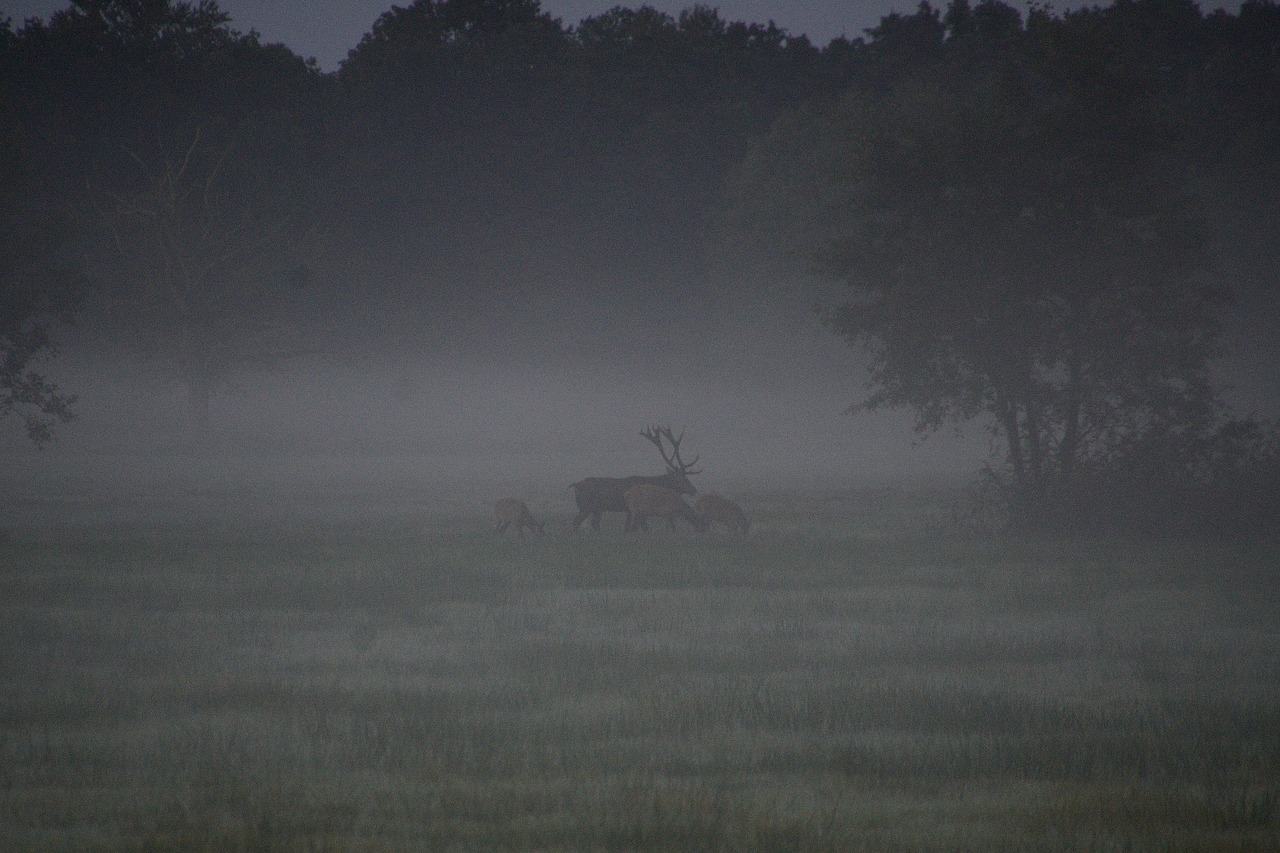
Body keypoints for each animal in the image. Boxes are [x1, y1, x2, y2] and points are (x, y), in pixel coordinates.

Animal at [573, 425, 706, 532]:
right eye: (682, 479)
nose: (694, 489)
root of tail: (576, 485)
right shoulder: (641, 511)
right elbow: (643, 528)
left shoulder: (630, 511)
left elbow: (629, 528)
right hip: (586, 505)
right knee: (576, 521)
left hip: (596, 509)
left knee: (593, 523)